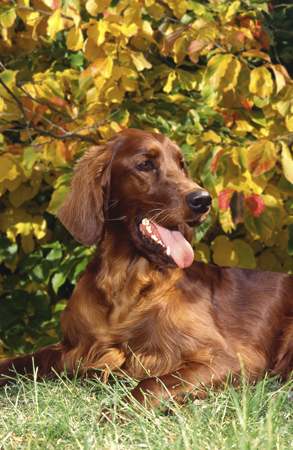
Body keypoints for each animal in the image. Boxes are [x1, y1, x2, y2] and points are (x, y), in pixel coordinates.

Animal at [0, 128, 292, 410]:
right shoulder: (72, 348)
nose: (203, 200)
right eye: (145, 165)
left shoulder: (228, 359)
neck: (124, 283)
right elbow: (20, 361)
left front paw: (112, 416)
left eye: (181, 165)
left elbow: (151, 383)